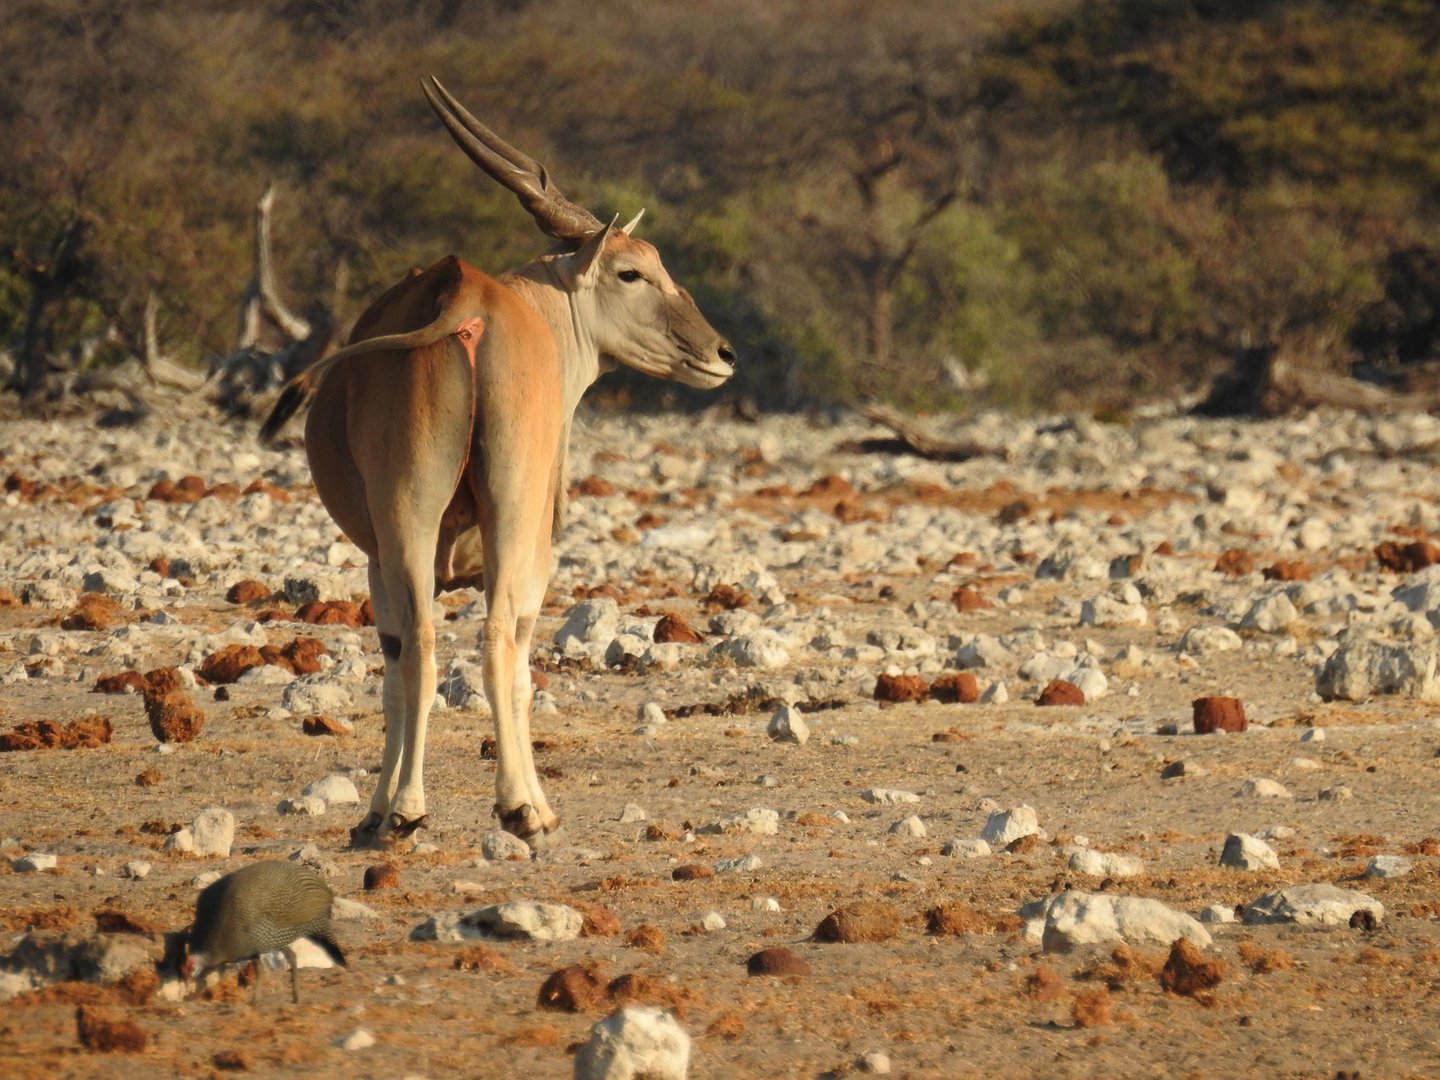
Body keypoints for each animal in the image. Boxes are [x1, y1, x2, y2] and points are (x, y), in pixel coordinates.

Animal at [262, 80, 731, 852]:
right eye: (632, 271)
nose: (722, 352)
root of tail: (465, 296)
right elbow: (504, 663)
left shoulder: (386, 559)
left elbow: (401, 666)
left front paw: (378, 811)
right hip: (493, 525)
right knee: (487, 642)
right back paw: (508, 808)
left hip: (417, 523)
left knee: (430, 646)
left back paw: (413, 809)